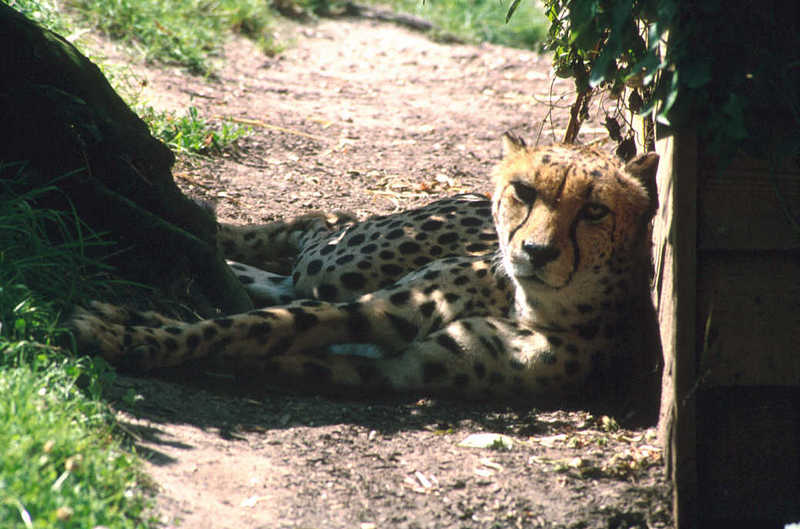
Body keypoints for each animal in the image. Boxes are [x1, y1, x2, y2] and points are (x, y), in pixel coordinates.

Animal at [70, 136, 656, 400]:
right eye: (524, 191)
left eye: (595, 211)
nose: (535, 252)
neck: (526, 302)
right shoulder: (379, 310)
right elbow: (252, 324)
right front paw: (132, 334)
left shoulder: (400, 369)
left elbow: (275, 347)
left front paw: (148, 337)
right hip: (339, 266)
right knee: (320, 228)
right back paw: (186, 225)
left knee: (281, 278)